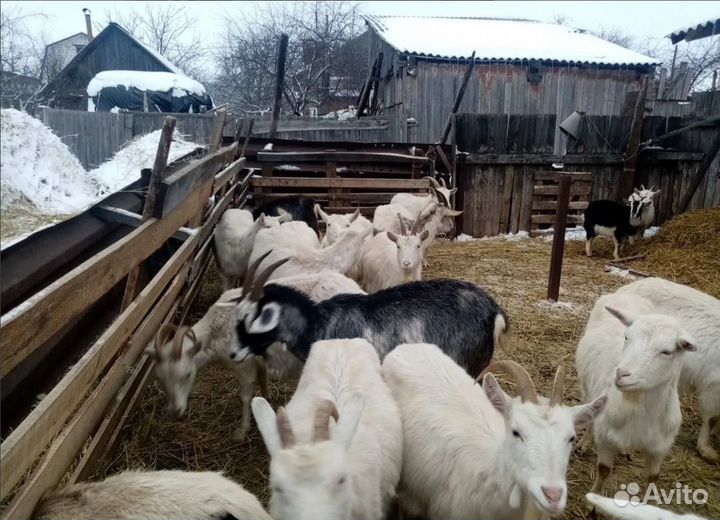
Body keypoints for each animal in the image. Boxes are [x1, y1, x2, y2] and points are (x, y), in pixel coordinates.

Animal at [575, 292, 696, 500]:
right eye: (626, 337)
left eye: (667, 352)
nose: (621, 374)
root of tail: (626, 294)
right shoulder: (606, 438)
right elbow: (604, 469)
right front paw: (593, 501)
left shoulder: (659, 448)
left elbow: (653, 478)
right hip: (587, 387)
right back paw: (584, 442)